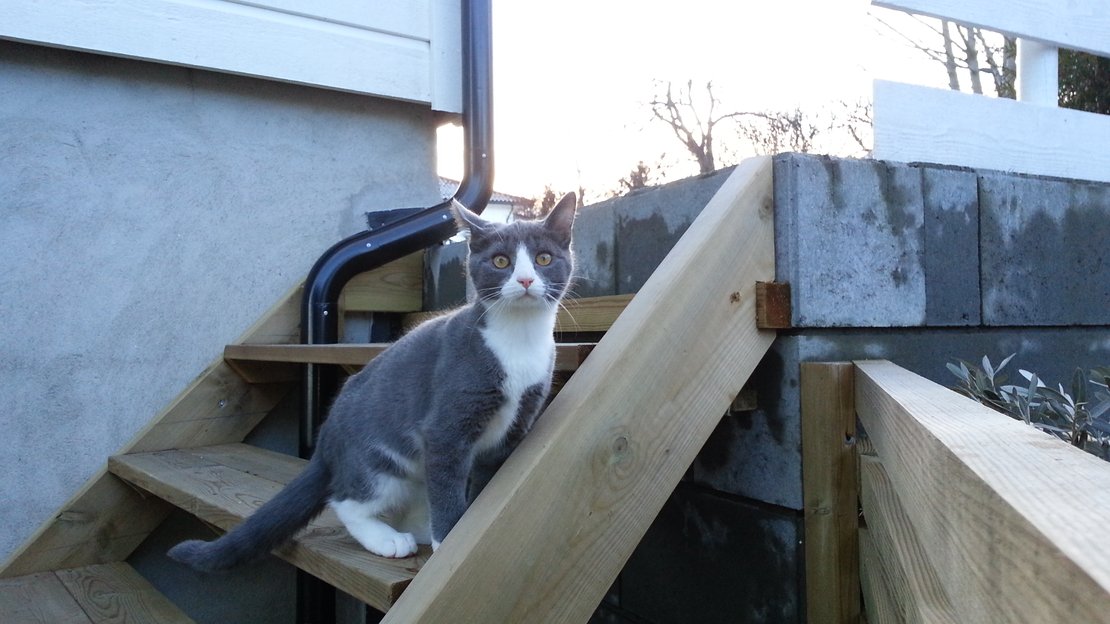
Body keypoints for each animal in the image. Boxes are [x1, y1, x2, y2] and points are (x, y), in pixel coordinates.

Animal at [168, 192, 577, 569]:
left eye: (543, 258)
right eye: (500, 261)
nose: (525, 279)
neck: (517, 339)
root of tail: (327, 440)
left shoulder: (517, 423)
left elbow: (486, 480)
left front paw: (468, 526)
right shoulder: (447, 423)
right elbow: (447, 482)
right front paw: (449, 541)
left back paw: (417, 528)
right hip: (380, 460)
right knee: (347, 499)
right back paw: (388, 538)